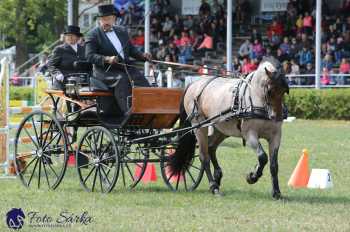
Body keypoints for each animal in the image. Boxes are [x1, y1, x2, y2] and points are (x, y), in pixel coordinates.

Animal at [170, 56, 290, 199]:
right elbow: (262, 157)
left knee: (211, 148)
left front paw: (276, 192)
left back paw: (217, 176)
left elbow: (273, 165)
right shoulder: (250, 134)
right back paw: (214, 187)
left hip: (220, 129)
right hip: (199, 127)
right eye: (270, 90)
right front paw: (252, 176)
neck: (257, 98)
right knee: (204, 156)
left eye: (285, 91)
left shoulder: (275, 136)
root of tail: (193, 84)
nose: (277, 117)